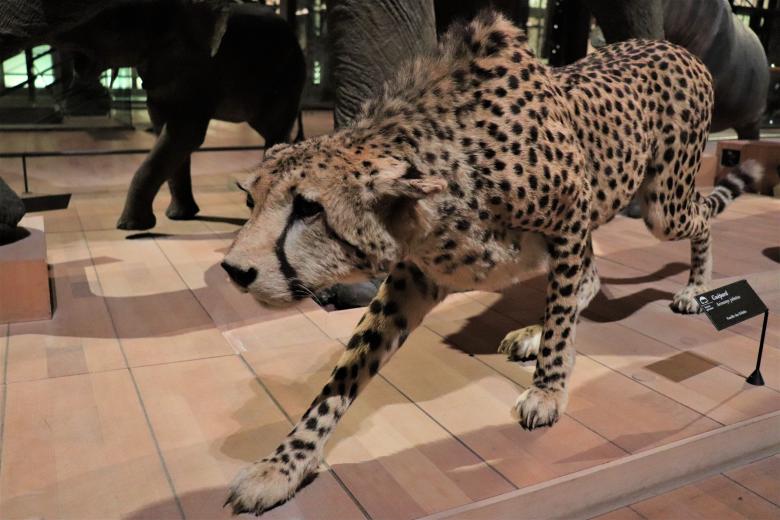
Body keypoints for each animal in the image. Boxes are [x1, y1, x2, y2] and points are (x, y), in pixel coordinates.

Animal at [221, 11, 762, 515]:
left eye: (309, 208)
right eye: (252, 201)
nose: (234, 270)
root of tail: (678, 48)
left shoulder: (571, 212)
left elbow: (563, 312)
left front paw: (548, 389)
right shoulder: (414, 277)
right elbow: (344, 374)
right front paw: (282, 466)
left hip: (662, 204)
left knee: (697, 219)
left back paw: (696, 288)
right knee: (590, 275)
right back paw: (535, 331)